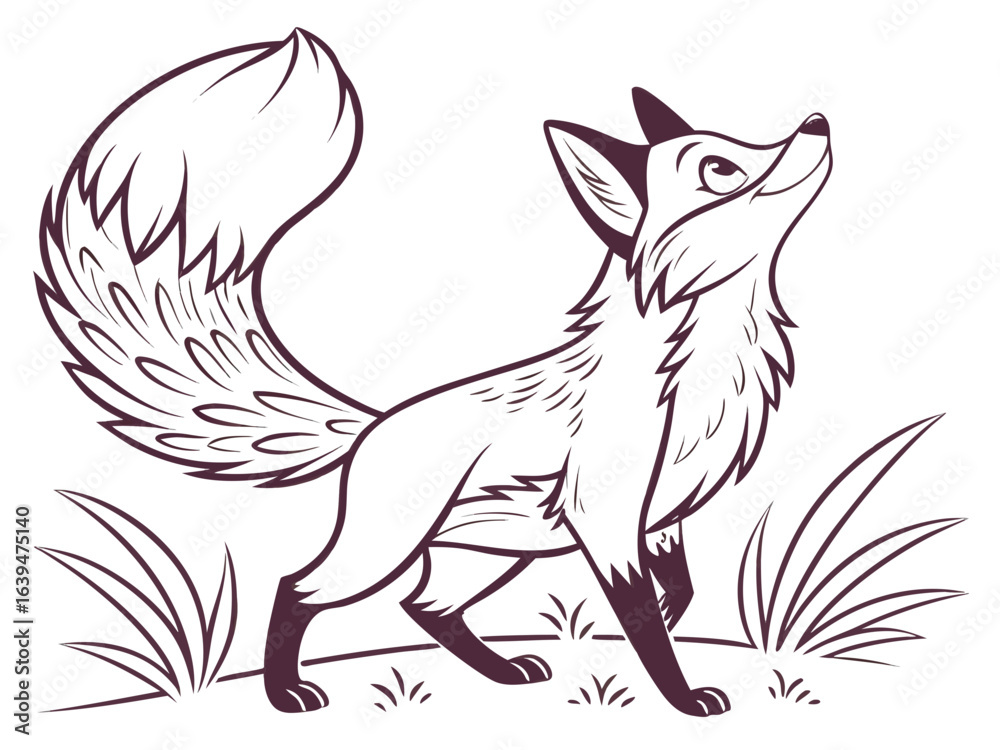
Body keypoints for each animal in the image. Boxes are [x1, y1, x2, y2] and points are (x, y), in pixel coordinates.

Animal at [37, 29, 831, 716]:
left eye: (740, 144)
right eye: (719, 168)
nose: (820, 121)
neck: (704, 372)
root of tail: (371, 426)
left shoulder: (661, 520)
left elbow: (682, 593)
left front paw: (669, 620)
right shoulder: (604, 520)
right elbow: (646, 628)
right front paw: (684, 698)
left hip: (493, 552)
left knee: (423, 606)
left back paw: (502, 672)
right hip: (385, 550)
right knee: (300, 586)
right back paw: (285, 694)